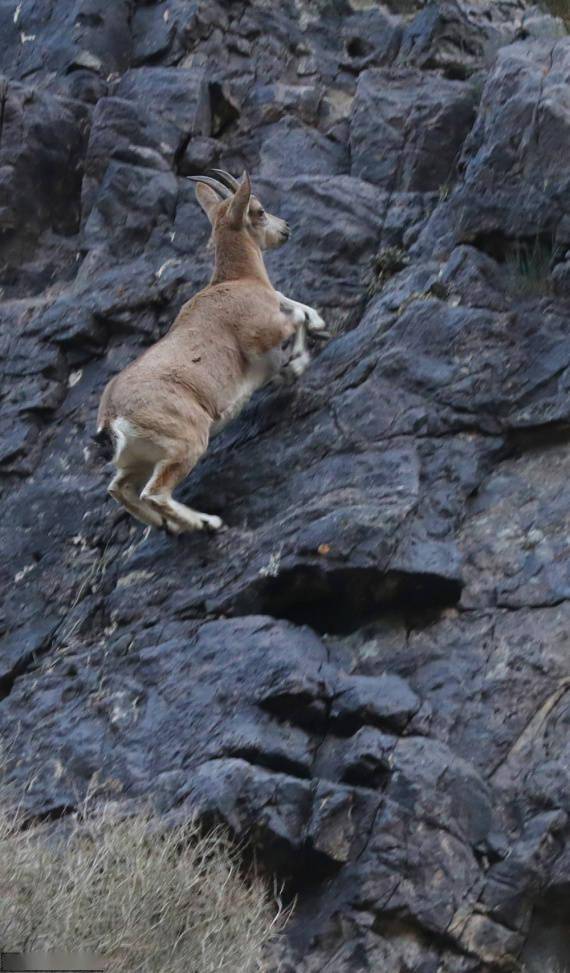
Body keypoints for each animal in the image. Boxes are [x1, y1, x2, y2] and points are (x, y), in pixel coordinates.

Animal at [95, 167, 322, 532]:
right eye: (258, 210)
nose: (286, 228)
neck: (239, 280)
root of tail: (111, 419)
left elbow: (292, 305)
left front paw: (317, 324)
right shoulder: (260, 330)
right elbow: (294, 319)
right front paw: (296, 364)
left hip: (138, 458)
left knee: (120, 489)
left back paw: (171, 526)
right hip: (187, 438)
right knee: (153, 493)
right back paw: (206, 522)